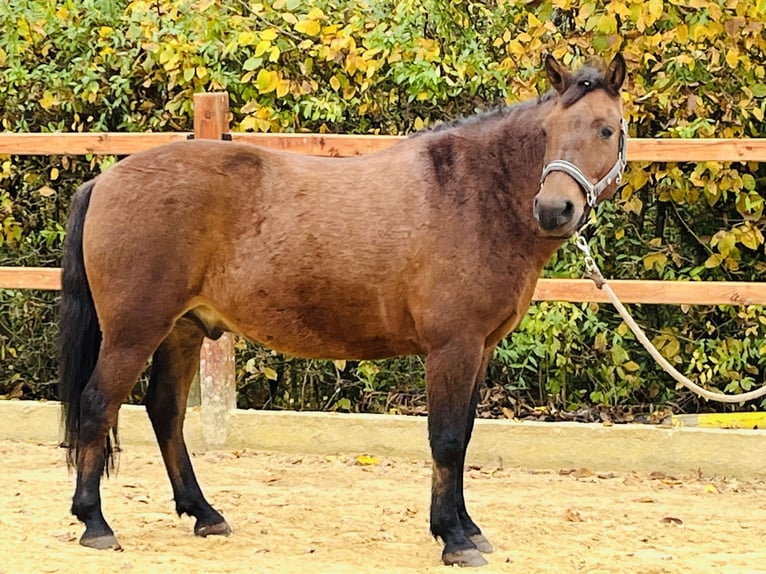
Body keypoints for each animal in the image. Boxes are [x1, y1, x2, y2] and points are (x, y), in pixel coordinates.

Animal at [58, 53, 624, 568]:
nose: (554, 210)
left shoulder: (479, 349)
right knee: (98, 405)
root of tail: (104, 181)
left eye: (606, 129)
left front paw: (469, 528)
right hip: (134, 331)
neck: (473, 194)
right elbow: (444, 439)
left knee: (165, 412)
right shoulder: (452, 348)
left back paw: (205, 513)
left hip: (182, 330)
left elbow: (462, 436)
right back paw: (95, 523)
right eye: (549, 131)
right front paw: (453, 539)